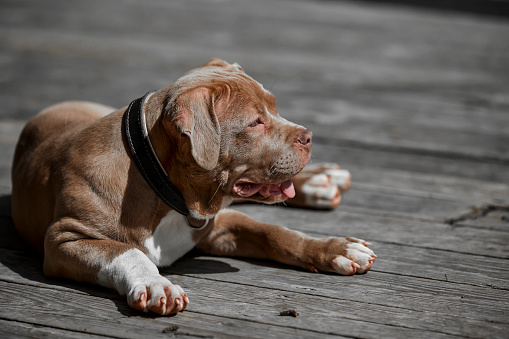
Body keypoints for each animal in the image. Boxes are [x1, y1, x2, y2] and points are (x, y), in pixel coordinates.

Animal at [10, 58, 374, 316]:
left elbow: (276, 233)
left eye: (274, 107)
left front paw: (336, 248)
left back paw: (319, 180)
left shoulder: (218, 223)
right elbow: (122, 250)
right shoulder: (63, 240)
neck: (165, 192)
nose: (308, 136)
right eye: (255, 122)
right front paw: (155, 284)